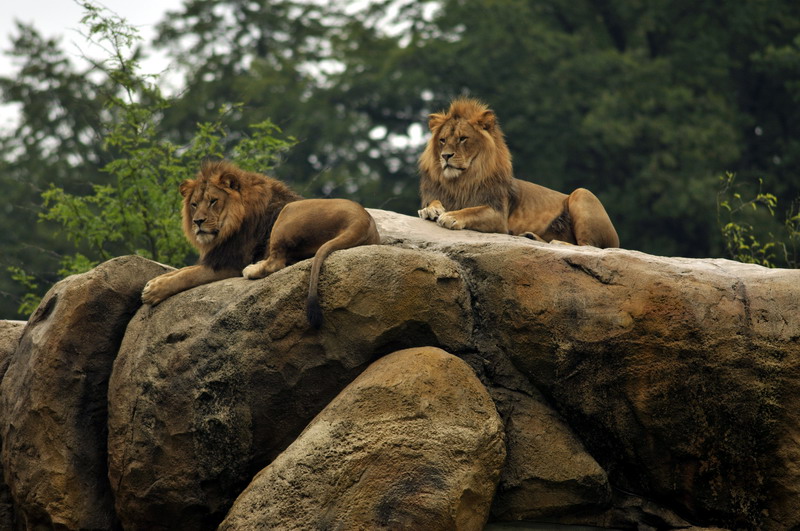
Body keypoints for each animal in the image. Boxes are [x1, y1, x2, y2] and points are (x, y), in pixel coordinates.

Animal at [142, 160, 380, 328]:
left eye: (213, 201)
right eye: (193, 204)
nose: (197, 222)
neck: (229, 227)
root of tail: (362, 220)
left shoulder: (230, 263)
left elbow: (188, 275)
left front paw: (154, 291)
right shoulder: (218, 256)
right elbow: (183, 270)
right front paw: (155, 281)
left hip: (288, 212)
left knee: (276, 262)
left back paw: (252, 269)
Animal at [418, 98, 619, 248]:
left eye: (462, 138)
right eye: (443, 140)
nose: (445, 156)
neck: (461, 180)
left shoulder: (498, 215)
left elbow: (471, 210)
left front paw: (451, 216)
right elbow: (434, 201)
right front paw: (430, 210)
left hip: (582, 193)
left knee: (589, 246)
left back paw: (557, 243)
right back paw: (531, 236)